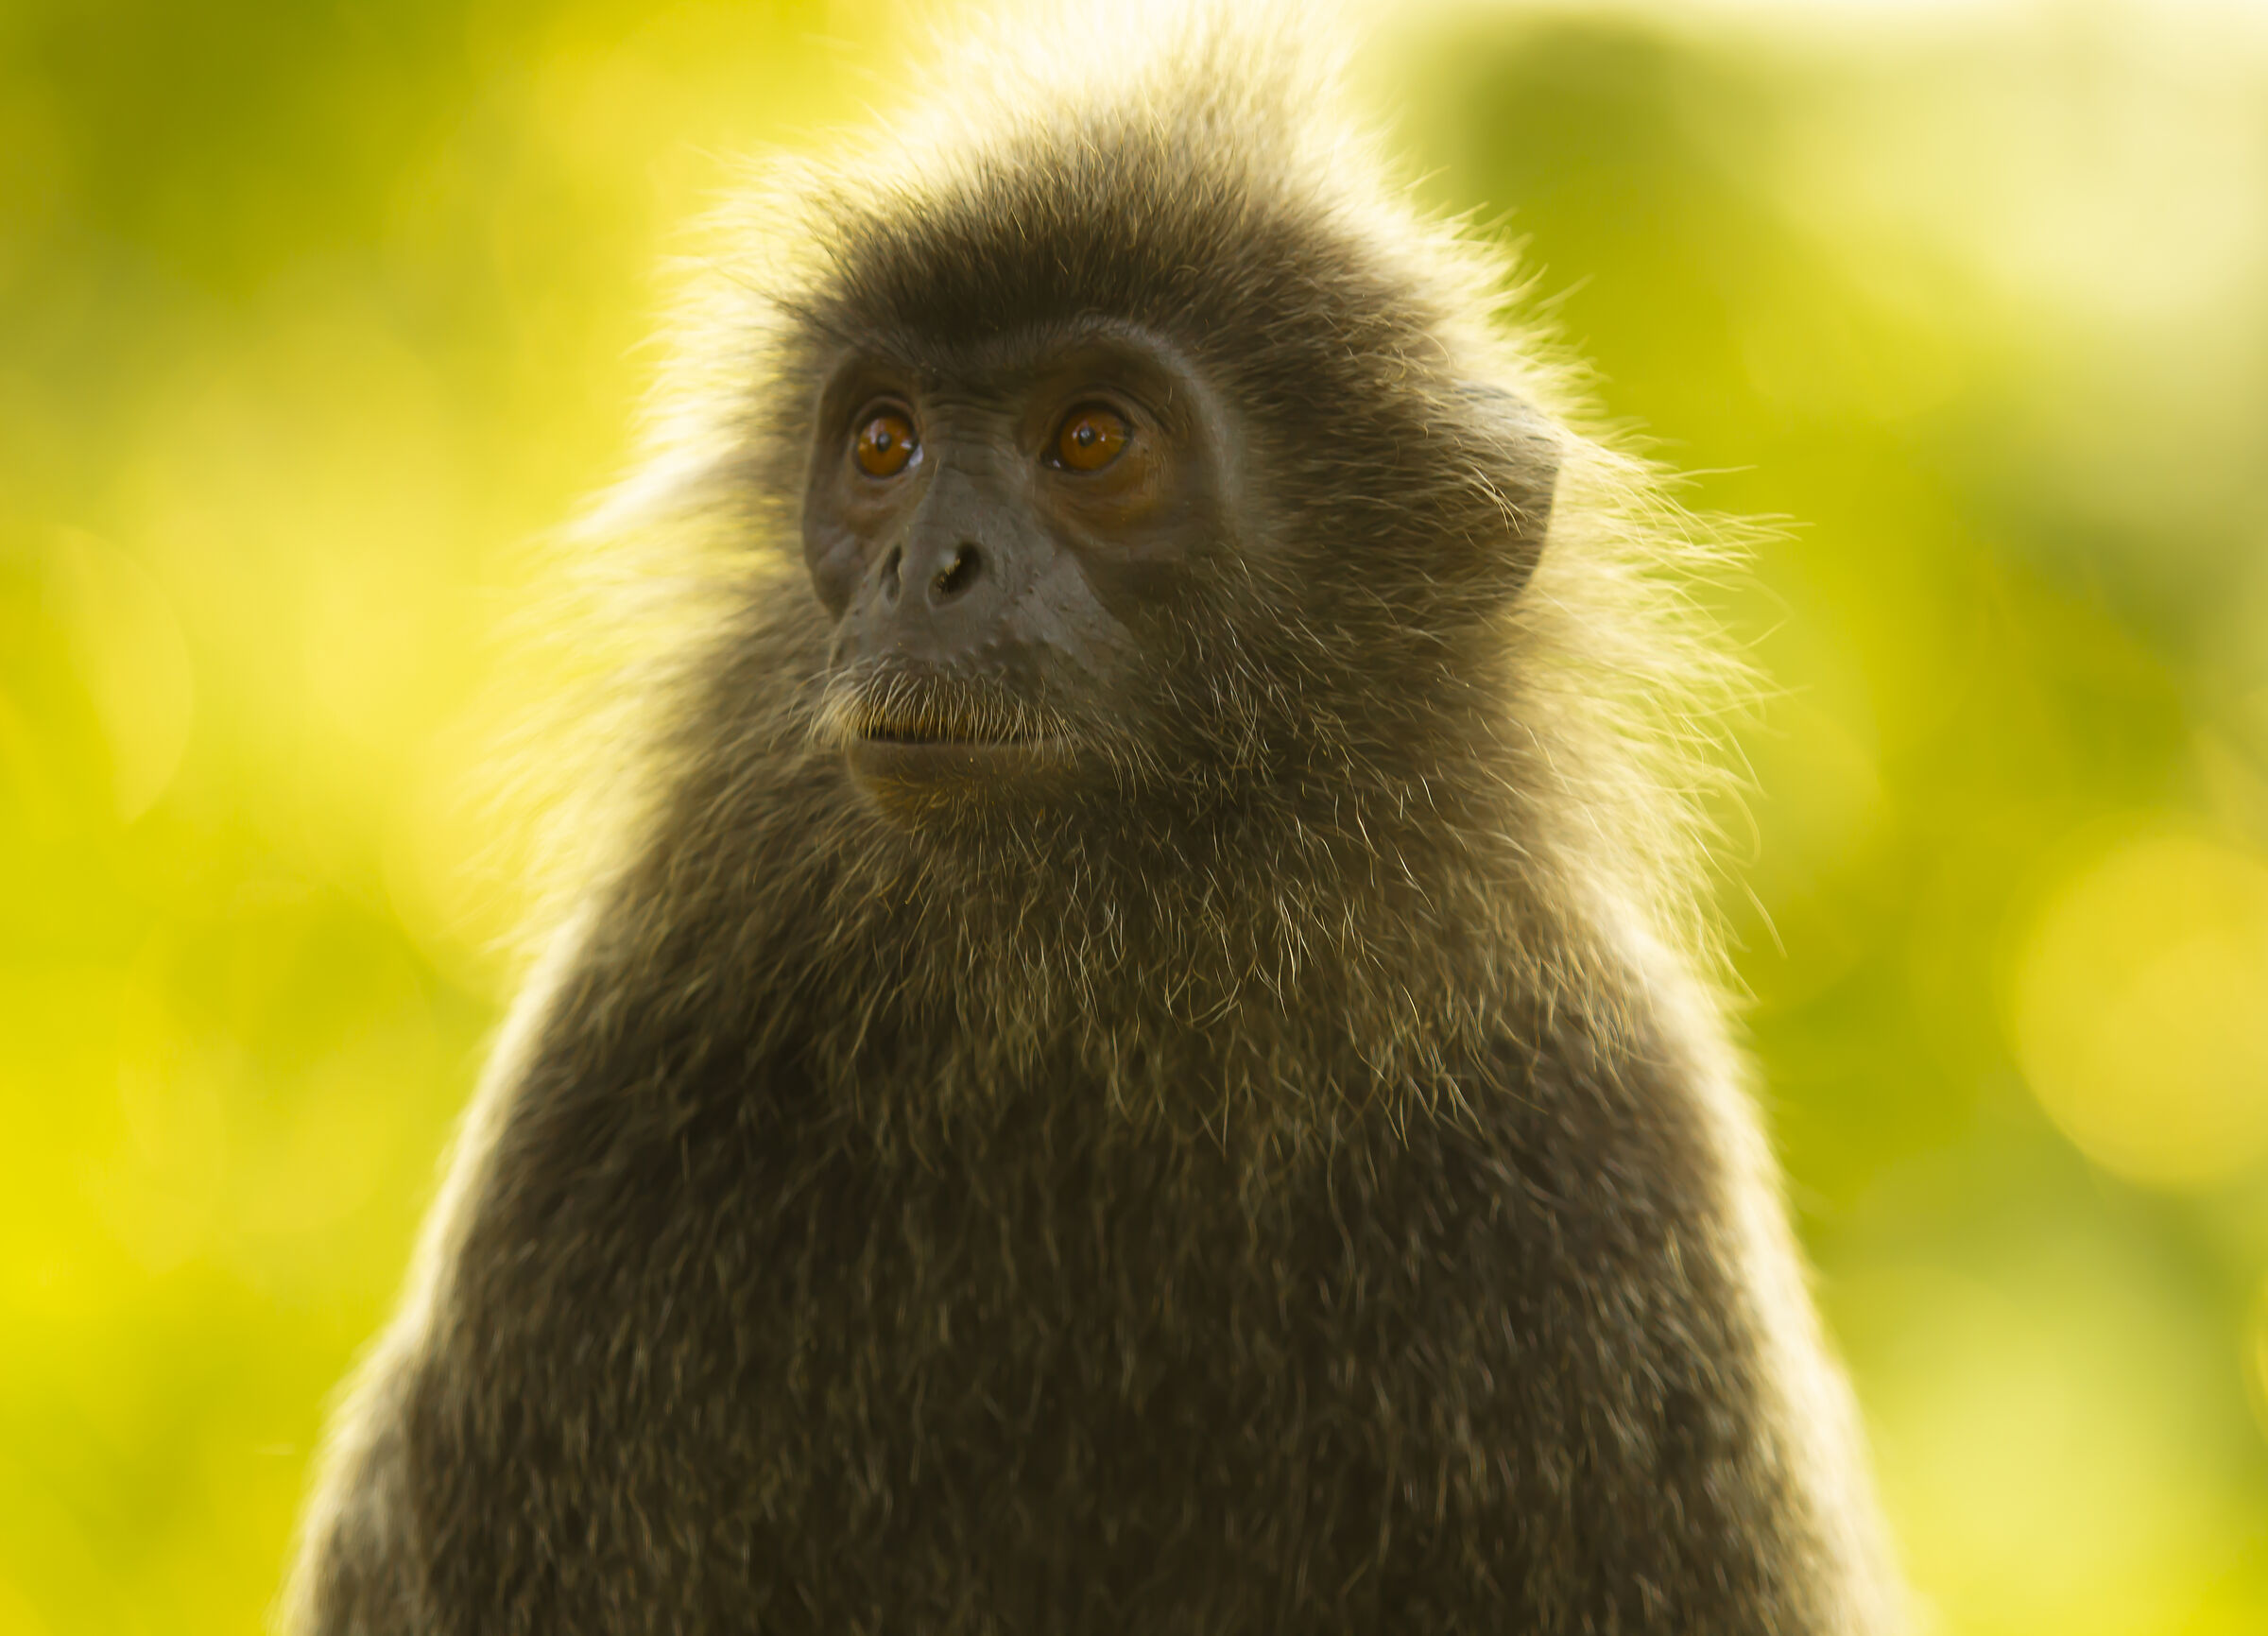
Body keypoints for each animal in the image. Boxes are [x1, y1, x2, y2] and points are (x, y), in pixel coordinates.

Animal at [283, 8, 1903, 1633]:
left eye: (1090, 438)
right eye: (884, 444)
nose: (930, 565)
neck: (1097, 1022)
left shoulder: (1608, 1137)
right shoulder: (620, 1073)